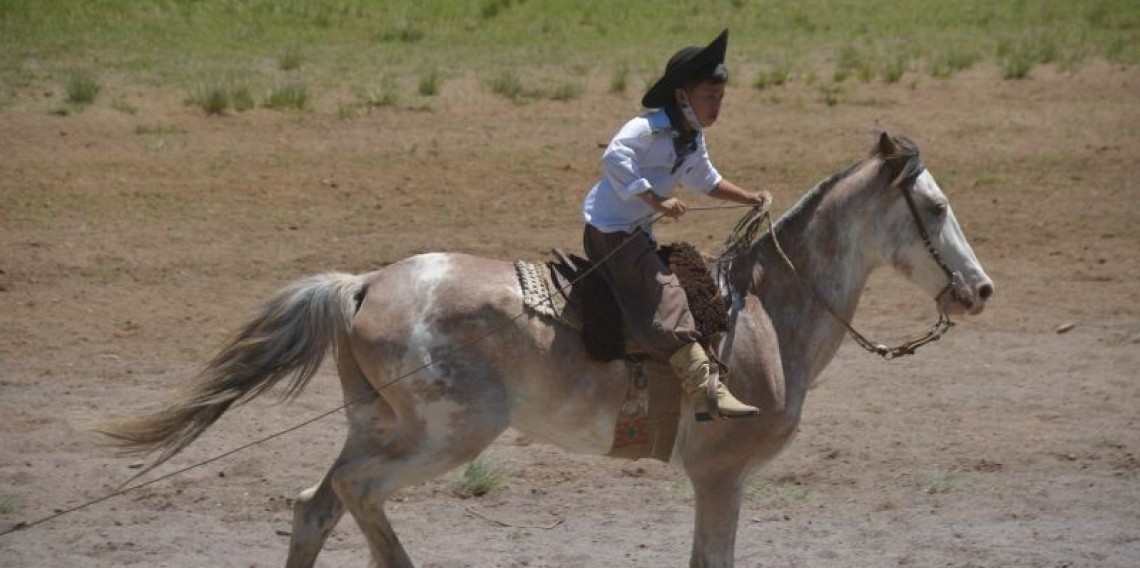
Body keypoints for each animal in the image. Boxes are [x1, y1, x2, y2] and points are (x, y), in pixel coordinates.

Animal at [104, 131, 998, 565]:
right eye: (934, 206)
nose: (980, 290)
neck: (764, 315)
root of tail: (363, 284)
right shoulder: (718, 477)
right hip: (445, 435)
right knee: (355, 496)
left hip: (379, 425)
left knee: (314, 506)